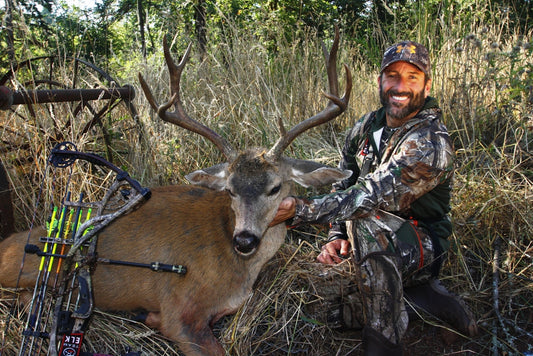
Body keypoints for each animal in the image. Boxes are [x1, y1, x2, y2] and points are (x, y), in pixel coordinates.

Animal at [1, 28, 354, 356]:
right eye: (229, 190)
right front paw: (148, 318)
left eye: (275, 187)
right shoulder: (180, 309)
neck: (237, 269)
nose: (244, 240)